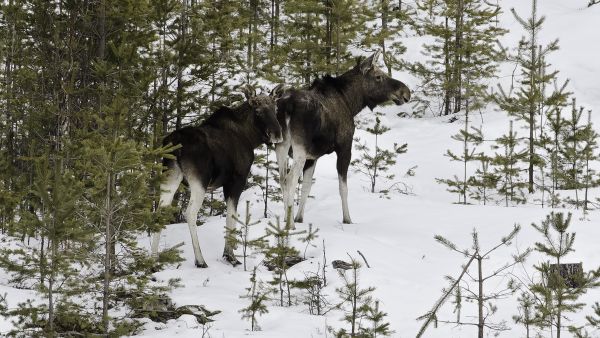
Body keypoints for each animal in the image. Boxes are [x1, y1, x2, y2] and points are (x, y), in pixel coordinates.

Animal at [155, 85, 286, 270]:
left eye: (275, 109)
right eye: (258, 111)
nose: (276, 134)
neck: (250, 137)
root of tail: (175, 146)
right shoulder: (236, 180)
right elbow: (232, 215)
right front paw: (230, 256)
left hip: (171, 177)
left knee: (158, 212)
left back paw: (152, 260)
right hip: (199, 181)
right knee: (190, 213)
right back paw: (200, 260)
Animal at [276, 50, 410, 227]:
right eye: (378, 76)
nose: (406, 92)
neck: (351, 102)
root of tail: (287, 106)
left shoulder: (313, 157)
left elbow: (306, 187)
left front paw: (299, 218)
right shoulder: (345, 147)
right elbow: (343, 188)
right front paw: (347, 219)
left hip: (281, 146)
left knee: (282, 178)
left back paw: (286, 219)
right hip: (299, 149)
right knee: (290, 179)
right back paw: (289, 225)